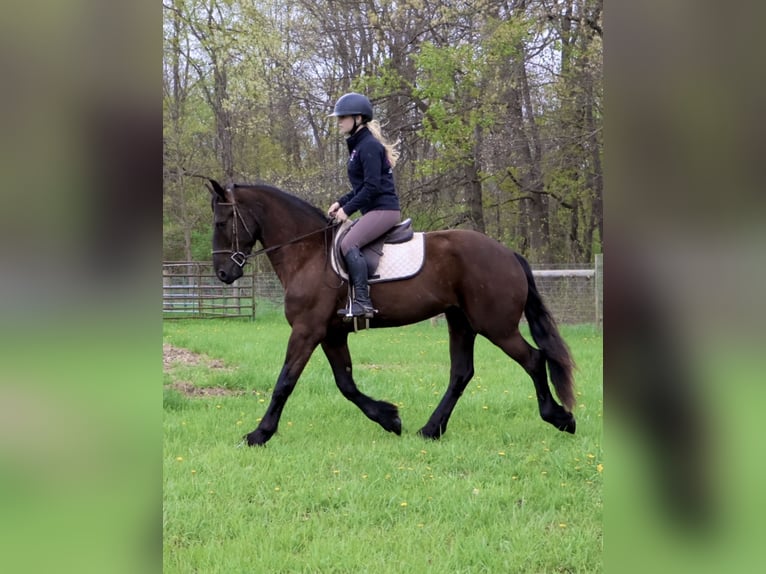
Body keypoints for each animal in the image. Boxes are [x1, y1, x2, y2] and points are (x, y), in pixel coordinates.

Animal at [207, 179, 576, 446]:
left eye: (223, 221)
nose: (223, 273)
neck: (308, 253)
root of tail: (508, 253)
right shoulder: (331, 334)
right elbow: (346, 384)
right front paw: (389, 418)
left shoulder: (306, 330)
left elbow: (285, 382)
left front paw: (259, 434)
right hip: (461, 322)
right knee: (461, 373)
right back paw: (430, 430)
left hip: (495, 326)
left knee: (534, 359)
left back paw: (560, 418)